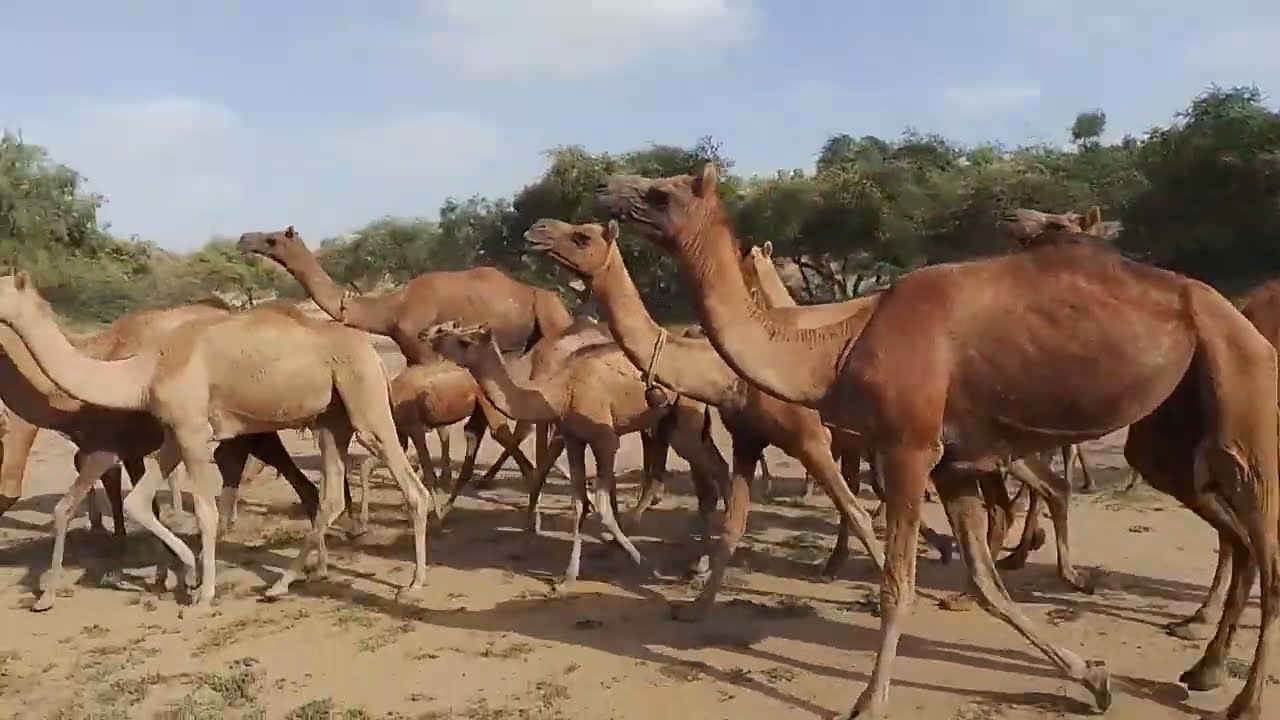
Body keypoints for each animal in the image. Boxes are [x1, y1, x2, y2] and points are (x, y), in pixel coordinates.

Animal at [0, 273, 431, 611]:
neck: (140, 371)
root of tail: (374, 354)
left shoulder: (191, 431)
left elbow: (204, 513)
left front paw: (201, 593)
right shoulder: (175, 433)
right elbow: (139, 502)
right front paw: (187, 572)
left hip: (365, 400)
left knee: (412, 489)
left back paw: (412, 587)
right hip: (330, 418)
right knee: (329, 497)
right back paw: (281, 584)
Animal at [238, 226, 568, 487]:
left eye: (272, 239)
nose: (243, 239)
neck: (390, 310)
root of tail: (544, 295)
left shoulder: (424, 350)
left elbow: (444, 426)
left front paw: (439, 476)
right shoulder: (413, 355)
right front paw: (435, 473)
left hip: (551, 321)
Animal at [422, 321, 729, 588]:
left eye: (463, 340)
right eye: (454, 330)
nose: (433, 339)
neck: (560, 391)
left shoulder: (605, 439)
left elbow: (601, 502)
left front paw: (647, 565)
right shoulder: (574, 439)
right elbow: (580, 503)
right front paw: (568, 576)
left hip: (684, 422)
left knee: (710, 482)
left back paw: (700, 566)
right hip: (678, 423)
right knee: (718, 470)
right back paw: (703, 563)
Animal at [598, 164, 1279, 720]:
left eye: (660, 192)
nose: (606, 189)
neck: (833, 349)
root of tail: (1236, 313)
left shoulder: (907, 448)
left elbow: (897, 582)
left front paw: (869, 702)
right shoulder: (953, 465)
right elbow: (984, 583)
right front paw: (1094, 679)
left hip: (1242, 392)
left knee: (1265, 545)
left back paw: (1242, 699)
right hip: (1170, 430)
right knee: (1231, 531)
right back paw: (1204, 665)